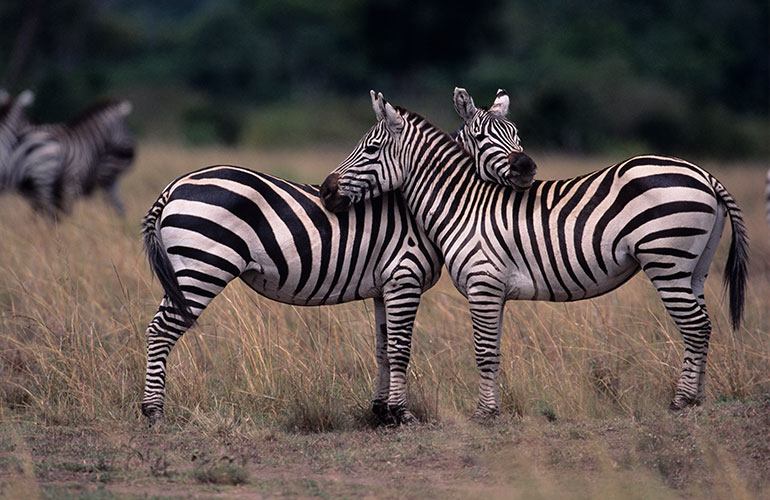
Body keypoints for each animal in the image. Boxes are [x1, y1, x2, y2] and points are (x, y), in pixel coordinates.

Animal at [6, 100, 134, 217]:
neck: (86, 142)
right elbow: (67, 210)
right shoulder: (72, 182)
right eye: (126, 129)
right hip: (44, 179)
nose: (131, 155)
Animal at [140, 165, 447, 426]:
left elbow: (383, 350)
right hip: (202, 268)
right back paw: (154, 411)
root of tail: (174, 186)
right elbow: (400, 350)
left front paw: (382, 412)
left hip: (184, 274)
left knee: (157, 328)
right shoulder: (404, 277)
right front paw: (402, 414)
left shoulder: (384, 288)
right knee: (160, 331)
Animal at [320, 90, 748, 419]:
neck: (464, 203)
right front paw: (491, 409)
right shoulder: (495, 291)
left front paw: (484, 414)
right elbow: (493, 350)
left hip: (666, 261)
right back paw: (697, 398)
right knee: (703, 325)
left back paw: (682, 401)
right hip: (694, 268)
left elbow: (483, 352)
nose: (326, 191)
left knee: (696, 327)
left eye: (370, 149)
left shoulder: (483, 284)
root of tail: (703, 173)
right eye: (483, 136)